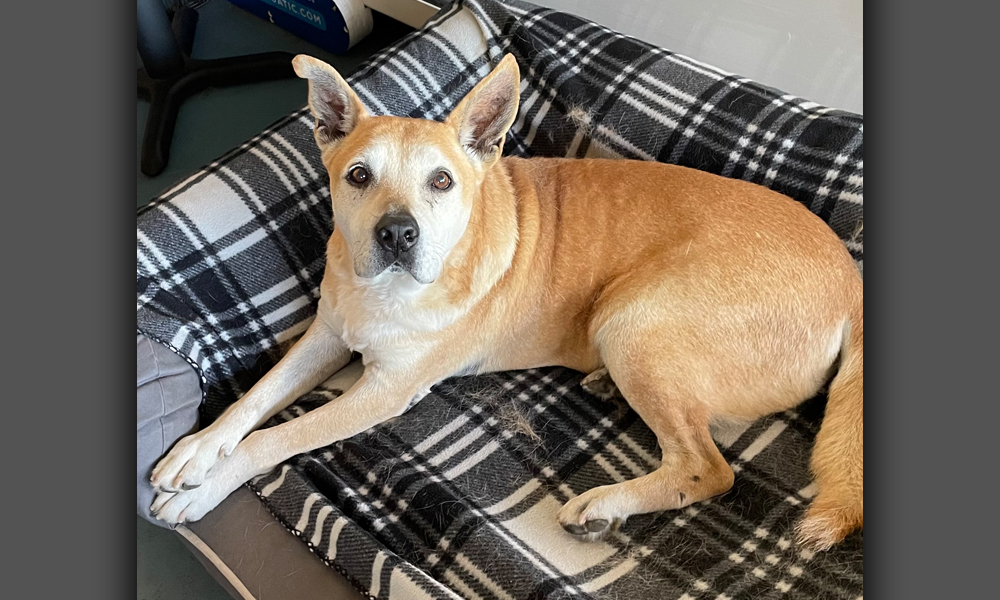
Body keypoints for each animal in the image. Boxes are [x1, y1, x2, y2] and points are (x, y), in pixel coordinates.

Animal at [152, 55, 864, 548]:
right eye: (358, 175)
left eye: (442, 182)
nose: (398, 233)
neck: (383, 292)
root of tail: (853, 280)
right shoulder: (327, 335)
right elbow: (257, 399)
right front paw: (198, 449)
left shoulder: (384, 391)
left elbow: (277, 436)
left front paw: (207, 486)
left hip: (634, 316)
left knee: (708, 468)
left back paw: (603, 505)